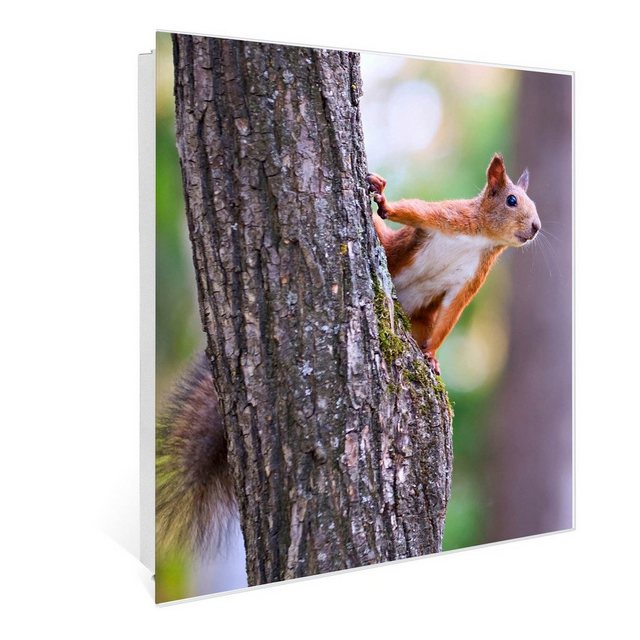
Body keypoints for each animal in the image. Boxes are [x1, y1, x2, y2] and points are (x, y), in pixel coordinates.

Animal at [156, 153, 540, 555]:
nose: (536, 228)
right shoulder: (449, 217)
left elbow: (450, 317)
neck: (480, 239)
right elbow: (413, 211)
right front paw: (384, 202)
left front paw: (432, 355)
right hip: (391, 249)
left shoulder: (469, 281)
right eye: (512, 200)